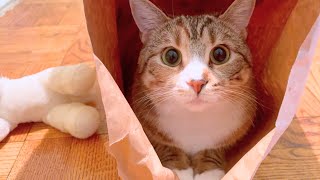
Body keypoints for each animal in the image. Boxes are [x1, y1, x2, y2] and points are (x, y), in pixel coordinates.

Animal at [129, 0, 256, 179]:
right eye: (171, 57)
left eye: (220, 54)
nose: (197, 82)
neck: (194, 119)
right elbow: (164, 143)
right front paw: (178, 167)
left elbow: (215, 146)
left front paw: (209, 169)